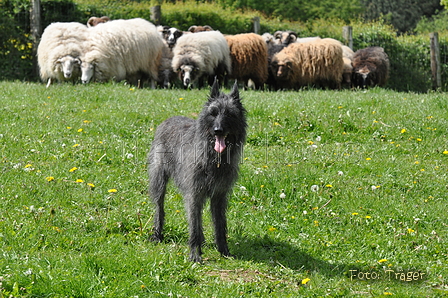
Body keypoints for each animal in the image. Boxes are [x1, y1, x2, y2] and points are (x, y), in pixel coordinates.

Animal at [148, 78, 247, 262]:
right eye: (213, 113)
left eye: (230, 114)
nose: (218, 130)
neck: (214, 159)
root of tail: (168, 119)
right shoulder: (194, 195)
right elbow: (194, 225)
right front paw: (194, 253)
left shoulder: (219, 197)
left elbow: (220, 225)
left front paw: (224, 251)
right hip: (159, 181)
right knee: (159, 208)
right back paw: (157, 235)